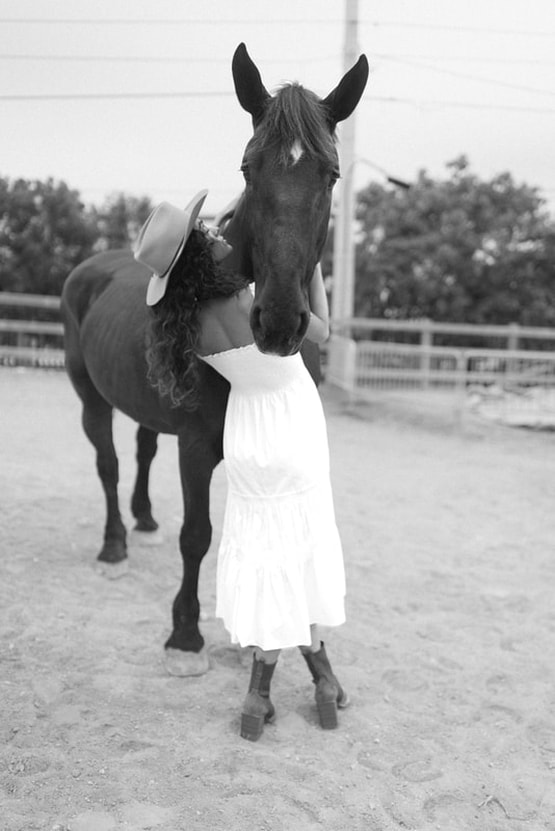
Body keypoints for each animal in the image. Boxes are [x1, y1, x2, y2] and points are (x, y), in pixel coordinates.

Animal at [62, 42, 370, 676]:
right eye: (249, 167)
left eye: (330, 174)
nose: (279, 321)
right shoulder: (198, 446)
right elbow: (198, 534)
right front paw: (185, 634)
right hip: (90, 396)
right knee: (108, 462)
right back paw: (115, 544)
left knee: (142, 447)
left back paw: (143, 519)